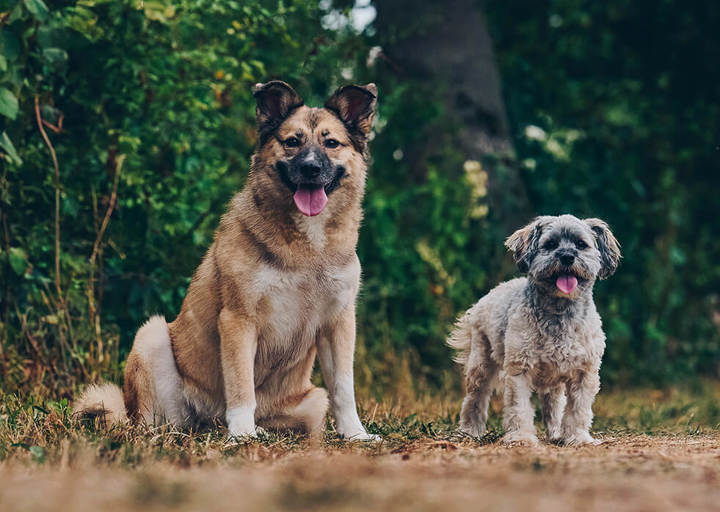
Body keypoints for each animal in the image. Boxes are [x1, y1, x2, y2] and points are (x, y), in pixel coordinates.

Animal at [75, 80, 380, 440]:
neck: (306, 245)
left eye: (331, 143)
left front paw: (356, 434)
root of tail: (208, 422)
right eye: (292, 142)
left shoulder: (338, 324)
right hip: (151, 337)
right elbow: (240, 383)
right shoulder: (238, 320)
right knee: (150, 421)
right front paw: (242, 433)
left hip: (312, 401)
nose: (310, 168)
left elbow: (344, 388)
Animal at [444, 215, 620, 444]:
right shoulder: (520, 369)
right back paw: (469, 431)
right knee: (475, 399)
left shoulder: (584, 373)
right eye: (551, 244)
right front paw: (521, 437)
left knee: (553, 405)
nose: (566, 256)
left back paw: (556, 433)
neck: (559, 310)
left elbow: (578, 410)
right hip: (480, 364)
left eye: (581, 245)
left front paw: (578, 437)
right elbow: (519, 408)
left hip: (554, 380)